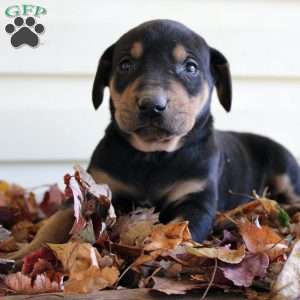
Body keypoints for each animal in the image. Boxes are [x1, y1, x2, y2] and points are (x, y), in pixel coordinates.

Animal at [88, 19, 300, 241]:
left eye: (190, 67)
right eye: (125, 65)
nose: (152, 104)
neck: (153, 155)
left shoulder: (196, 197)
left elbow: (183, 229)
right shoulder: (102, 183)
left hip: (286, 169)